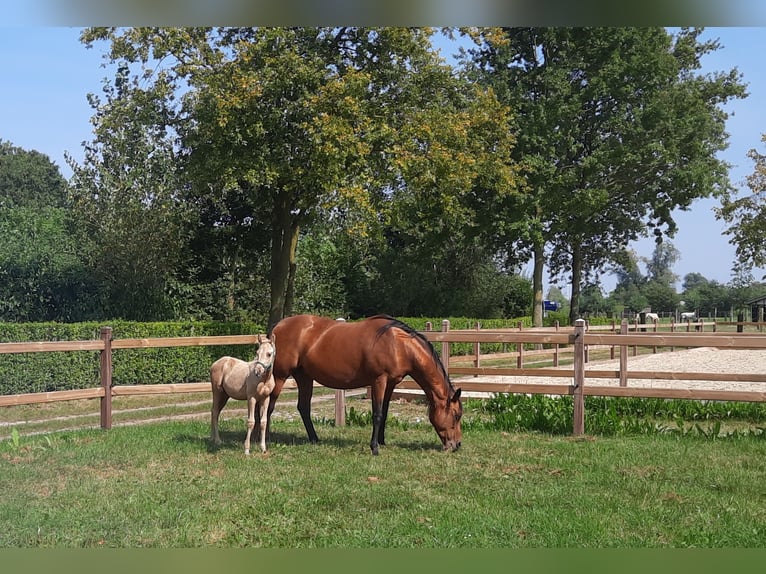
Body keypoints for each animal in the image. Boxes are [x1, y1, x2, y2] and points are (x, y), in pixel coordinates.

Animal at [270, 312, 462, 456]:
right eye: (456, 415)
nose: (457, 445)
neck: (398, 345)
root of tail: (278, 326)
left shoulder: (391, 383)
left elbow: (385, 412)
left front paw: (382, 441)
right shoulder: (379, 380)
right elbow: (377, 413)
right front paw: (374, 447)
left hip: (304, 377)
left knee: (303, 407)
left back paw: (314, 439)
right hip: (279, 376)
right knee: (269, 406)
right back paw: (265, 439)